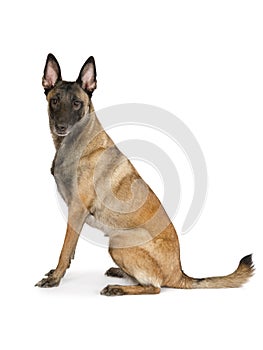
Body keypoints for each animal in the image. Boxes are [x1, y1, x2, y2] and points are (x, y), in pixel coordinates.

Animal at [35, 54, 256, 296]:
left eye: (77, 103)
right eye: (55, 101)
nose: (61, 127)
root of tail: (179, 273)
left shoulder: (76, 210)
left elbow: (65, 249)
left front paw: (55, 278)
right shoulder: (75, 214)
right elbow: (71, 248)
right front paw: (59, 272)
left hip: (118, 244)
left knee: (154, 287)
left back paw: (118, 288)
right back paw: (120, 274)